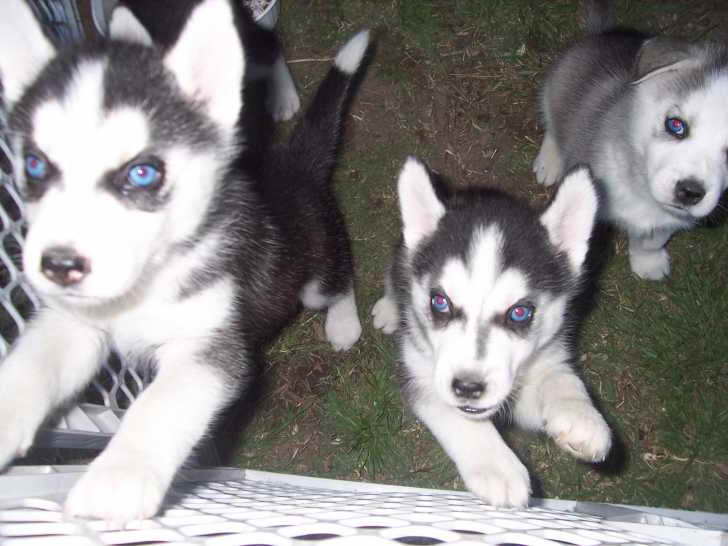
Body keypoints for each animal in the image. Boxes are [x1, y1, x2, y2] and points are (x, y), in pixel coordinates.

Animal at [0, 0, 366, 520]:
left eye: (143, 172)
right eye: (34, 165)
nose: (59, 266)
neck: (148, 282)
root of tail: (288, 165)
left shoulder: (209, 346)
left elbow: (160, 405)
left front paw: (119, 476)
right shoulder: (76, 323)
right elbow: (36, 361)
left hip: (312, 271)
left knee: (339, 276)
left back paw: (343, 323)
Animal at [372, 157, 612, 506]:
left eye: (520, 312)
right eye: (440, 302)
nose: (468, 387)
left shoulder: (544, 359)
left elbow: (560, 379)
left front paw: (583, 419)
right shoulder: (419, 373)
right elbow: (456, 415)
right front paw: (497, 466)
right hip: (401, 254)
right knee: (395, 274)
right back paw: (389, 308)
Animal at [532, 1, 728, 280]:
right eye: (676, 125)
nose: (690, 192)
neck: (640, 186)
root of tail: (604, 34)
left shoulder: (667, 219)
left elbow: (652, 240)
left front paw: (648, 262)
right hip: (556, 86)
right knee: (553, 120)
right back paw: (550, 161)